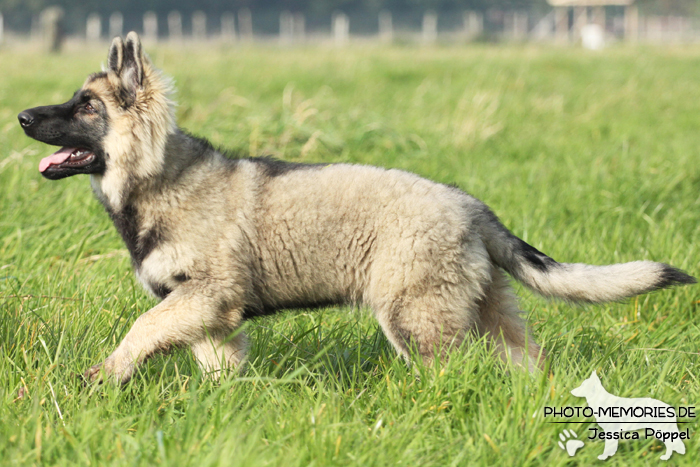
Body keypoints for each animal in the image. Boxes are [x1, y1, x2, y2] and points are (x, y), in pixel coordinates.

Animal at [17, 33, 696, 384]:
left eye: (86, 107)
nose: (21, 116)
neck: (157, 179)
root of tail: (470, 205)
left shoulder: (205, 297)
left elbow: (140, 331)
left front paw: (102, 377)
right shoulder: (210, 315)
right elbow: (216, 365)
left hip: (414, 316)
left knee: (449, 374)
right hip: (488, 313)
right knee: (528, 363)